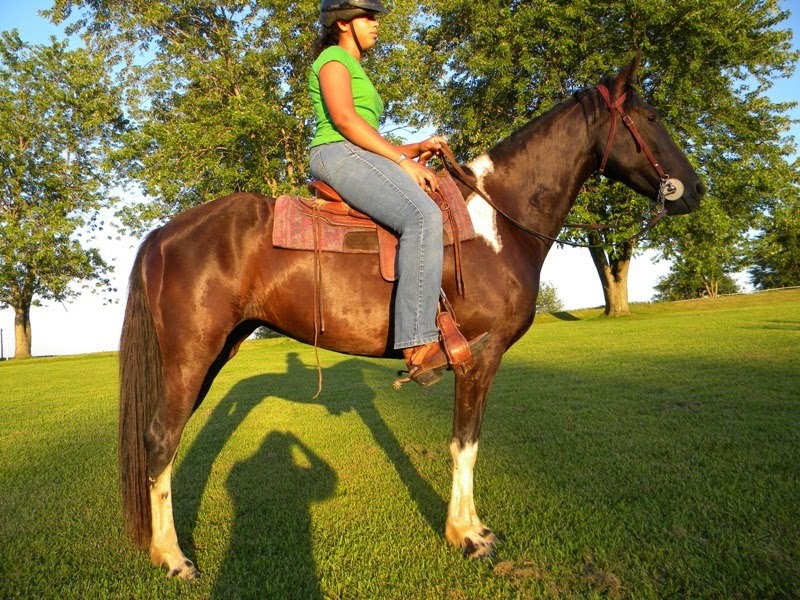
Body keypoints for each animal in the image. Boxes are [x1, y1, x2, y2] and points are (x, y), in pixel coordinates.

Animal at [118, 57, 705, 578]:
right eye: (652, 117)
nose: (695, 190)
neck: (497, 222)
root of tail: (165, 233)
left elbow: (468, 443)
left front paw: (472, 529)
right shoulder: (479, 356)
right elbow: (464, 444)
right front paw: (466, 536)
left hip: (215, 353)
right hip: (192, 356)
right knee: (160, 440)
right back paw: (173, 558)